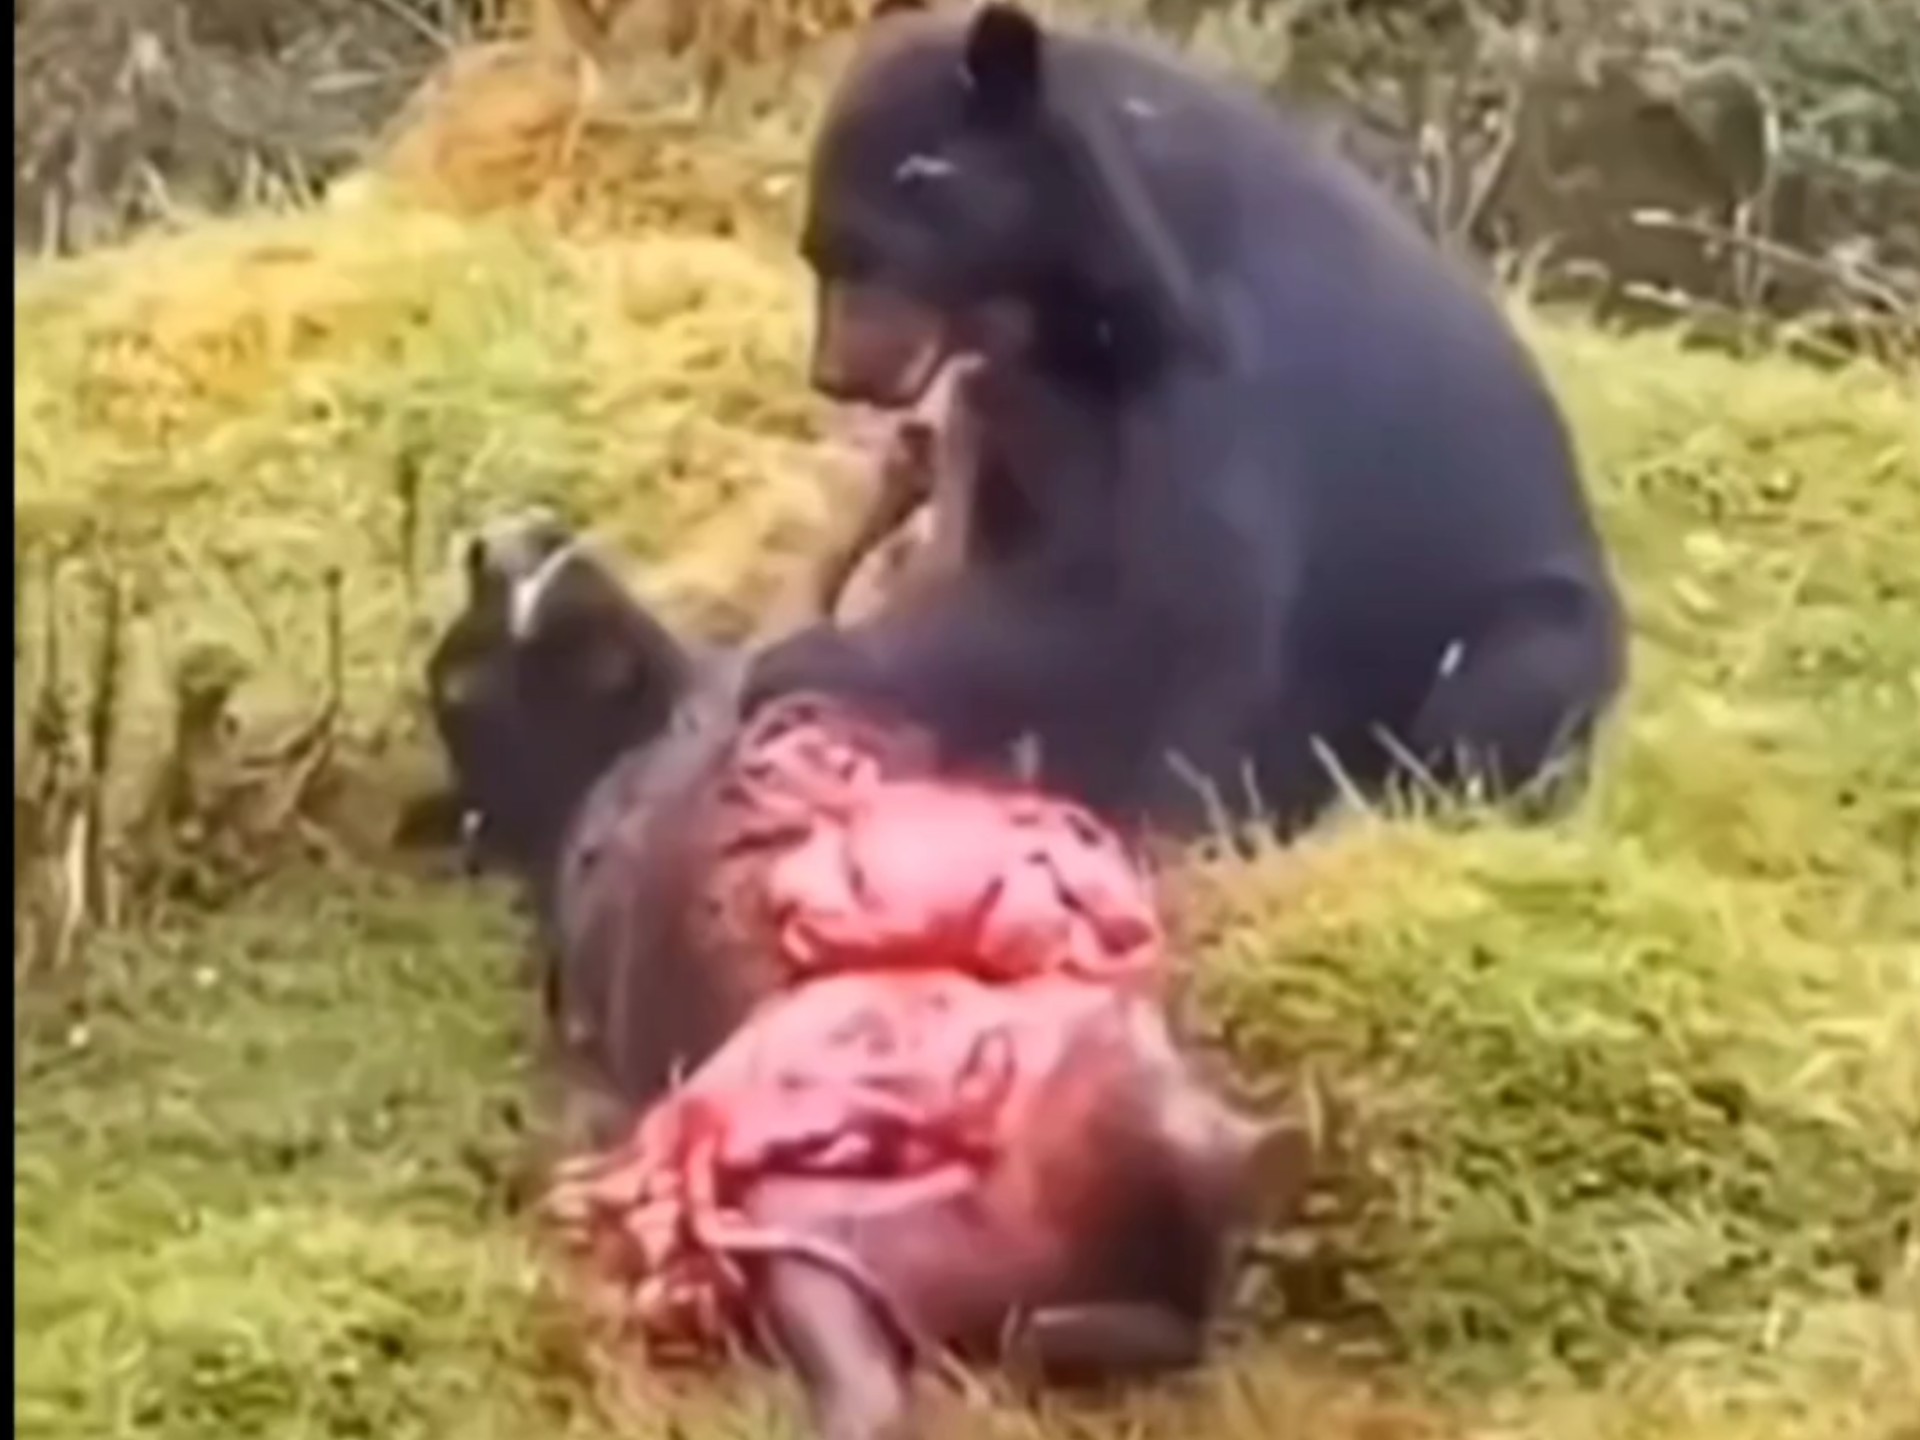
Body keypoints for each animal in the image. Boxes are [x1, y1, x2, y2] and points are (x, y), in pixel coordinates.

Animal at [741, 0, 1629, 844]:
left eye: (876, 254)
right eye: (818, 256)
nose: (837, 373)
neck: (1075, 310)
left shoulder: (1228, 379)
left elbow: (1172, 605)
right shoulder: (1036, 399)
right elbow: (1030, 541)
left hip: (1521, 623)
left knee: (1501, 689)